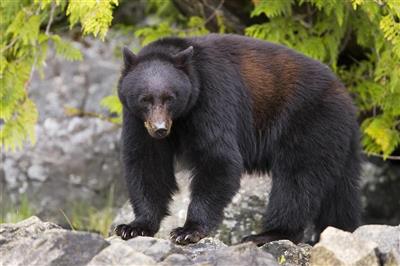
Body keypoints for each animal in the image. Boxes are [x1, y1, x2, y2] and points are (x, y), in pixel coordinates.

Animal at [114, 33, 360, 245]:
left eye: (170, 98)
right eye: (145, 99)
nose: (160, 129)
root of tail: (346, 97)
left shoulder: (212, 97)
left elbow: (218, 159)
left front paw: (188, 230)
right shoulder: (136, 120)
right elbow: (147, 162)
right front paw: (134, 226)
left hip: (309, 122)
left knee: (296, 180)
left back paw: (269, 234)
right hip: (337, 141)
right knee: (340, 194)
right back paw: (340, 230)